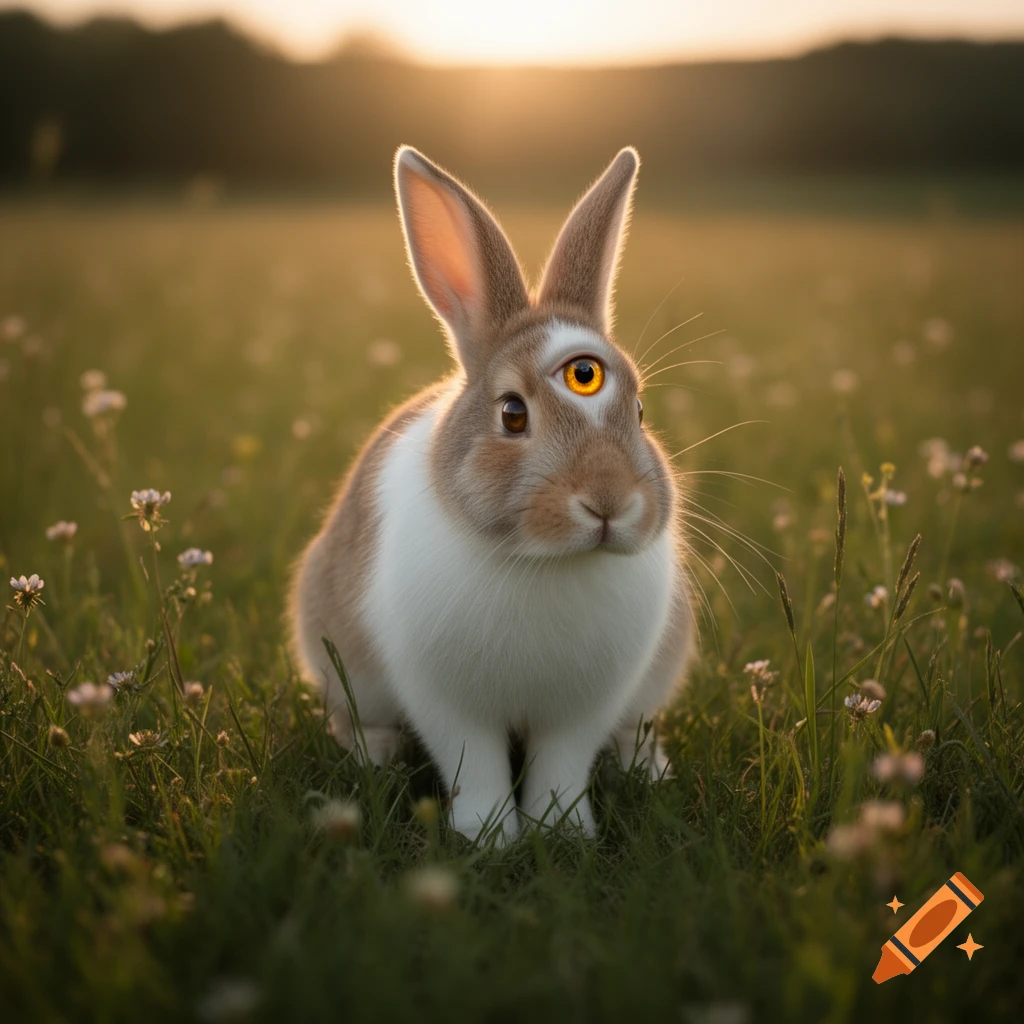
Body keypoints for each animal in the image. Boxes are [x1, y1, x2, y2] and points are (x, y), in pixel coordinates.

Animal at [290, 145, 693, 843]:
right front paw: (489, 836)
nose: (609, 502)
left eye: (641, 412)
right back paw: (376, 752)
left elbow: (561, 764)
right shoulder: (446, 700)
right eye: (511, 414)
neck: (546, 563)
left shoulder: (582, 709)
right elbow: (473, 763)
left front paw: (562, 831)